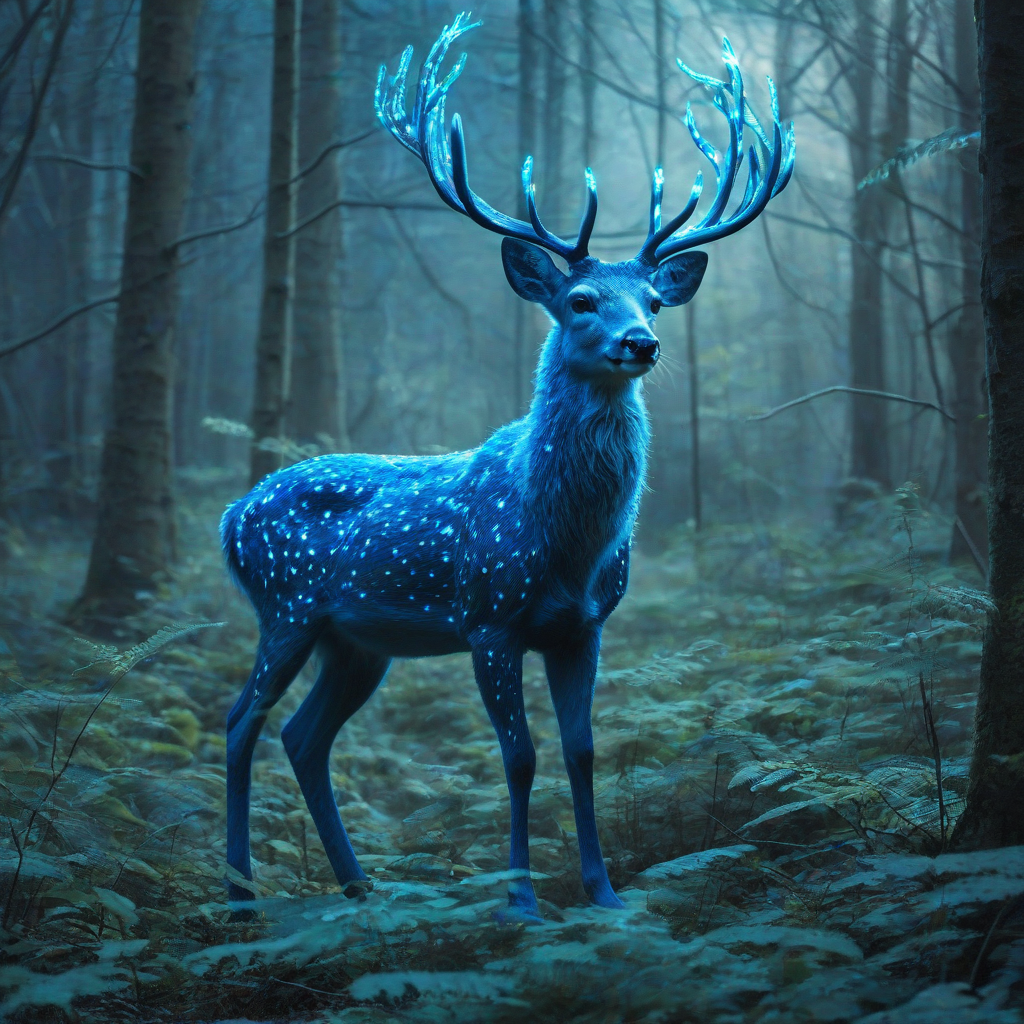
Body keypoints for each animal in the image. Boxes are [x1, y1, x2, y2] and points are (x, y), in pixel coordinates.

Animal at [221, 13, 794, 918]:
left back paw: (359, 886)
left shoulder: (584, 626)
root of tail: (230, 517)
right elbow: (519, 757)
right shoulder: (487, 618)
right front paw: (521, 900)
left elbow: (583, 750)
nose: (642, 342)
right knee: (240, 723)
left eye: (654, 300)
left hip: (357, 641)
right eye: (581, 301)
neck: (566, 545)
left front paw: (604, 892)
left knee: (302, 736)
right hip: (287, 605)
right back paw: (243, 896)